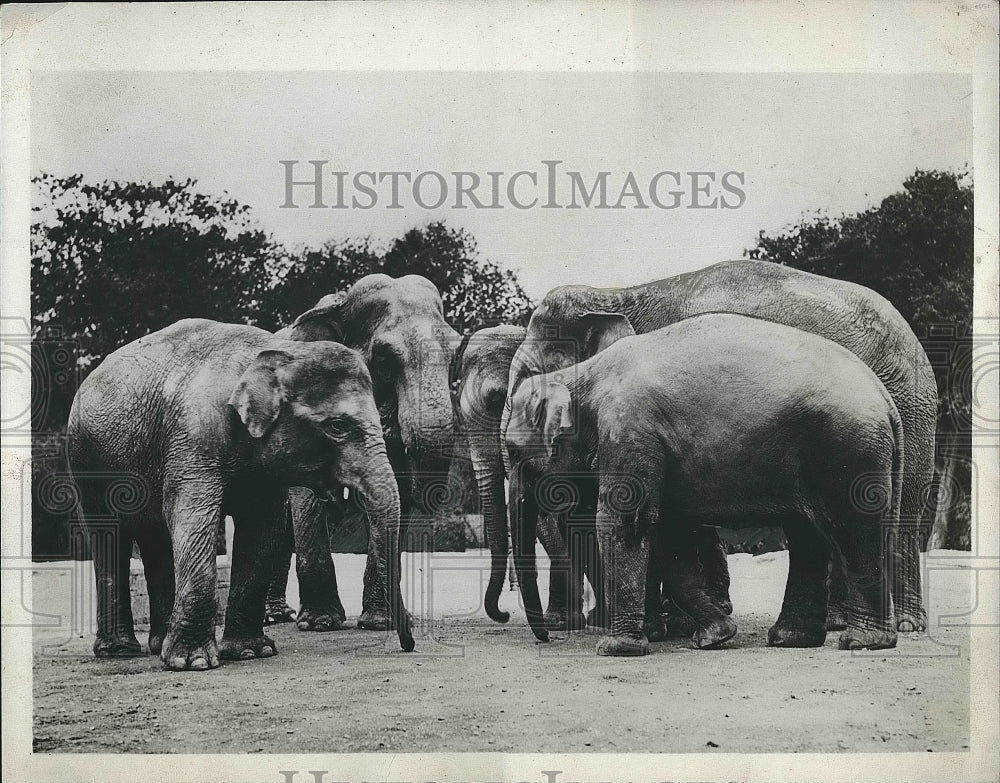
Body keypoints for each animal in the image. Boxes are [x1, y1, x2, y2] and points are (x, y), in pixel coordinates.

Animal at [64, 320, 414, 672]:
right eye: (337, 426)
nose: (408, 644)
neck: (278, 354)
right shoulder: (194, 437)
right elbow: (194, 519)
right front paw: (193, 662)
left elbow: (261, 530)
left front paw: (250, 652)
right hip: (85, 460)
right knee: (108, 536)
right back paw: (119, 650)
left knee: (155, 538)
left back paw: (156, 646)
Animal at [262, 274, 458, 632]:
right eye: (382, 360)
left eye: (454, 355)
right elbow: (305, 497)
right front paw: (320, 623)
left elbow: (396, 495)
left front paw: (381, 622)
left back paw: (279, 615)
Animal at [500, 260, 936, 632]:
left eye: (529, 374)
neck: (617, 293)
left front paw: (665, 627)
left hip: (904, 418)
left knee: (893, 515)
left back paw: (894, 625)